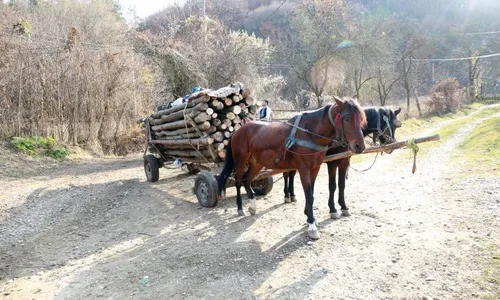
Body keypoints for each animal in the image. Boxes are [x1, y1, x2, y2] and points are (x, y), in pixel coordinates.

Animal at [218, 96, 368, 239]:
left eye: (361, 118)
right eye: (347, 119)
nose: (360, 146)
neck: (310, 134)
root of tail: (238, 130)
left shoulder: (315, 168)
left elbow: (312, 193)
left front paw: (308, 214)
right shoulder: (304, 169)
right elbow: (309, 195)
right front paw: (312, 225)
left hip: (256, 163)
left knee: (247, 179)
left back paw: (252, 206)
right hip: (240, 161)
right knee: (238, 181)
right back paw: (240, 208)